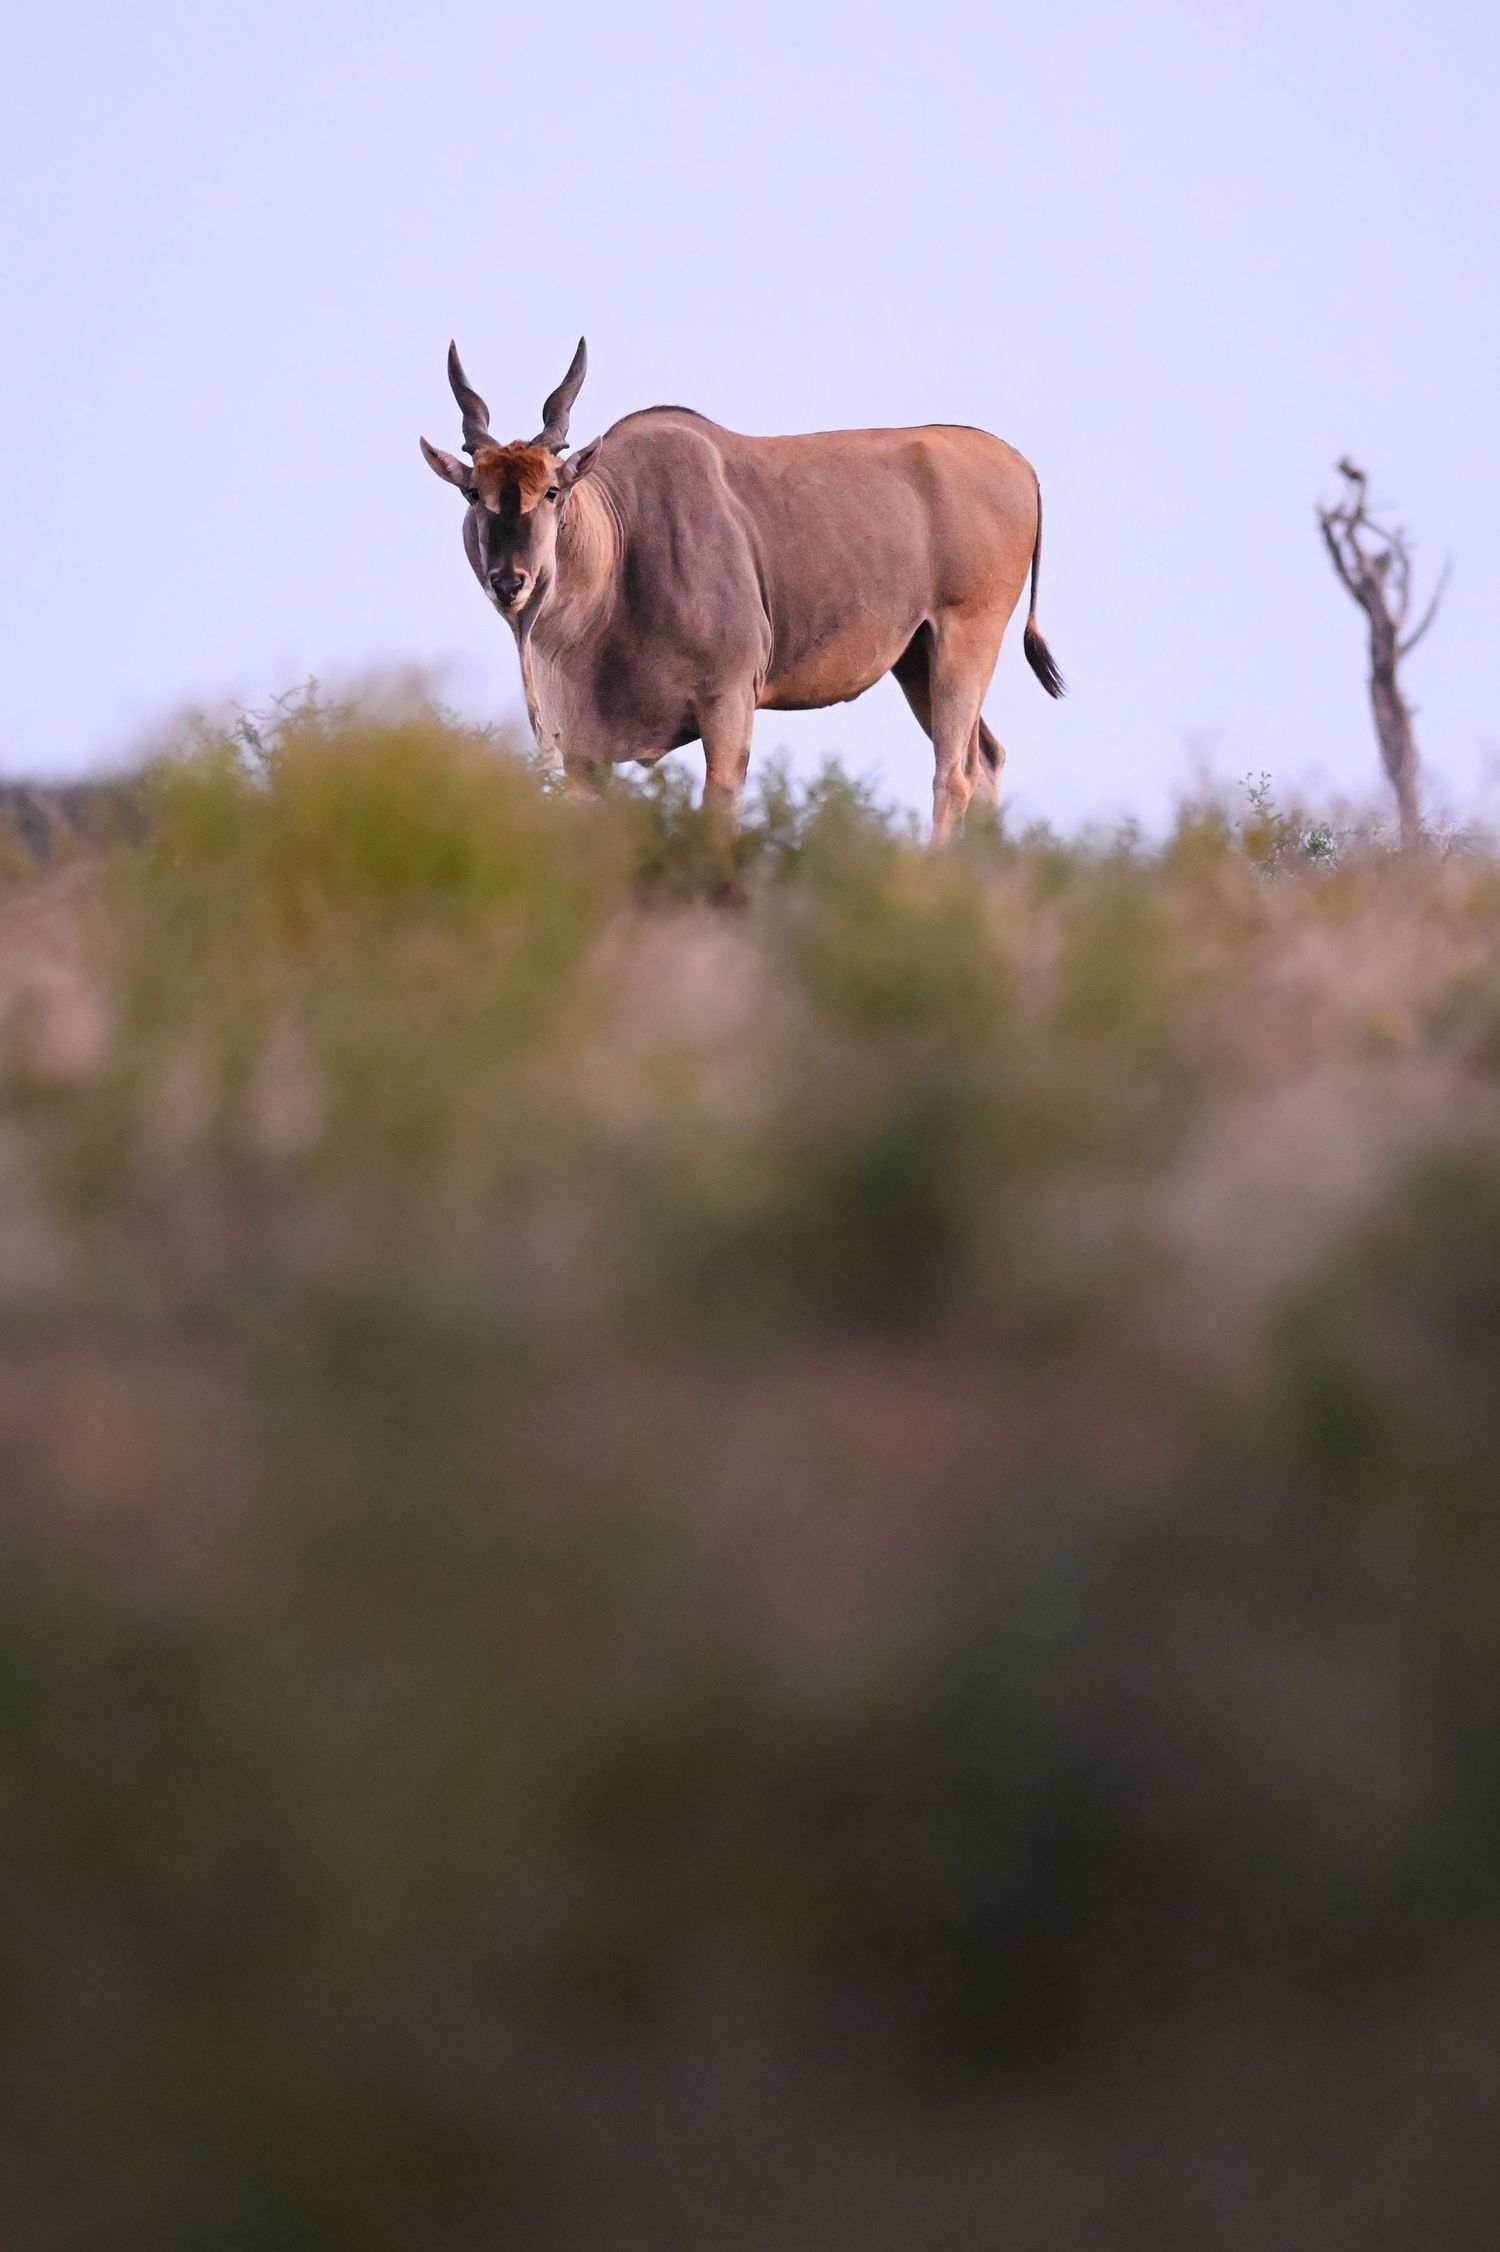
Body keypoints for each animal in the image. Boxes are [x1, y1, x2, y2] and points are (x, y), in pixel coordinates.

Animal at [421, 340, 1064, 841]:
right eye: (473, 494)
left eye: (553, 491)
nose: (511, 581)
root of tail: (1024, 467)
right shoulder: (582, 753)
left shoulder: (729, 703)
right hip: (916, 658)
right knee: (986, 759)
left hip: (966, 639)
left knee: (953, 774)